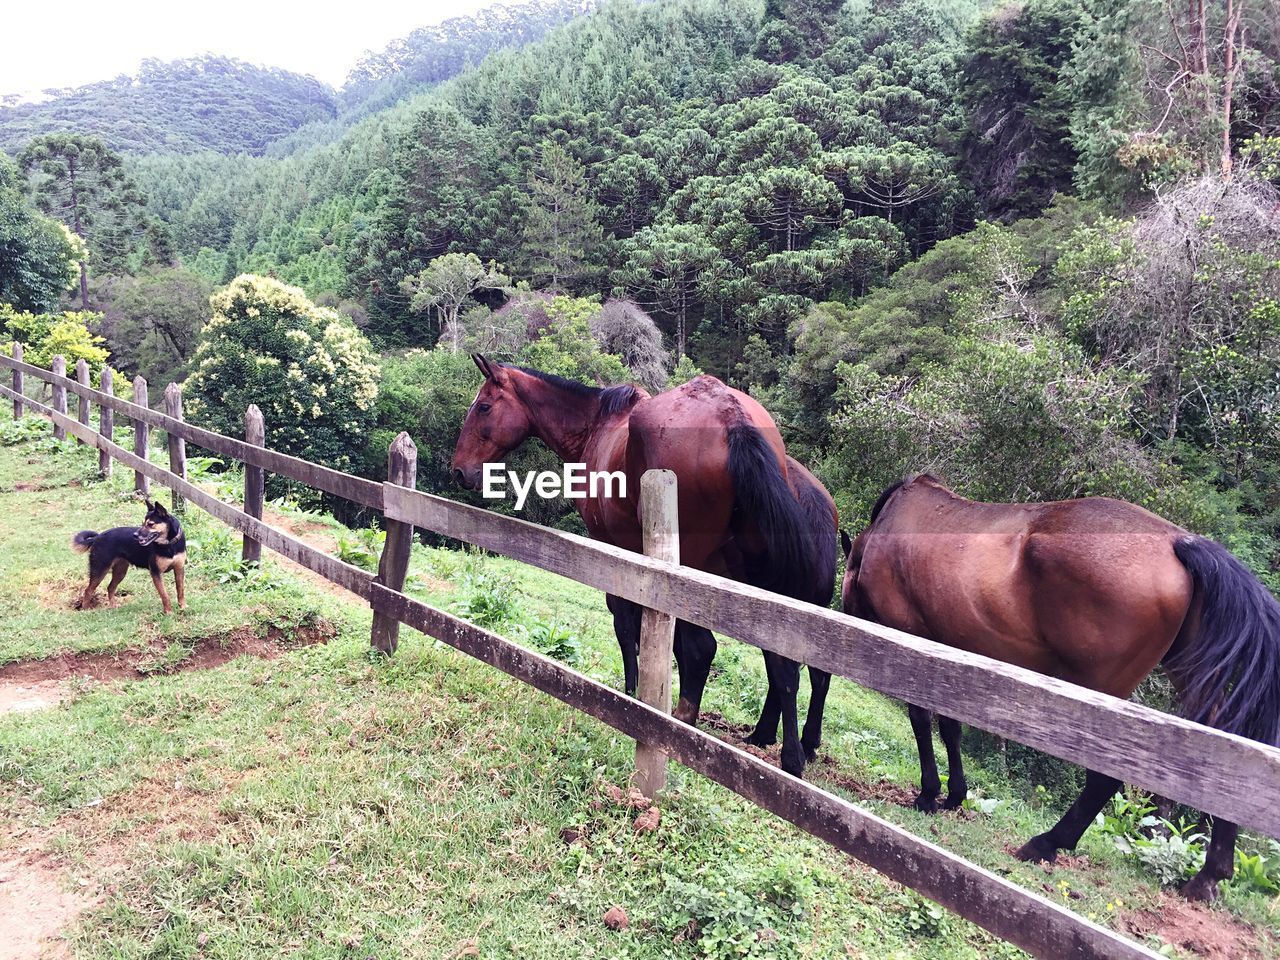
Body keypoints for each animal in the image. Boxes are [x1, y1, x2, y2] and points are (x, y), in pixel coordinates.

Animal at [453, 358, 839, 778]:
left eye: (484, 407)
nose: (459, 470)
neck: (597, 426)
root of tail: (730, 415)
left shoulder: (615, 551)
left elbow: (628, 628)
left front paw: (631, 695)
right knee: (784, 669)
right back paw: (785, 751)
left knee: (709, 649)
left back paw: (688, 726)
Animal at [839, 478, 1280, 906]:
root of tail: (1177, 540)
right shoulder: (948, 650)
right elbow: (950, 727)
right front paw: (953, 795)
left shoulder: (910, 638)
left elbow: (921, 719)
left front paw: (929, 794)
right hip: (1189, 676)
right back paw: (1208, 876)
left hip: (1099, 688)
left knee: (1105, 777)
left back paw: (1046, 843)